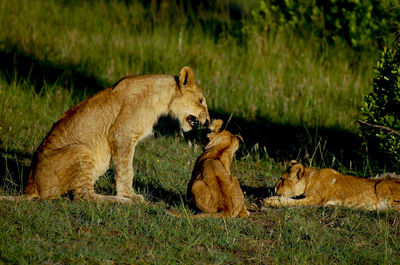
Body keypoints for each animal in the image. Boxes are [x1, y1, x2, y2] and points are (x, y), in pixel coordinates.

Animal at [0, 66, 211, 202]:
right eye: (201, 101)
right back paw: (121, 201)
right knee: (84, 197)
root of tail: (31, 186)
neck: (161, 99)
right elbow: (126, 170)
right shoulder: (121, 135)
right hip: (81, 149)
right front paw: (129, 195)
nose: (209, 120)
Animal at [262, 159, 400, 210]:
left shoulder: (314, 200)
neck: (310, 178)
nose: (274, 188)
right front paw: (271, 198)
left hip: (381, 185)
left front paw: (269, 201)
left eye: (282, 180)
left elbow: (290, 202)